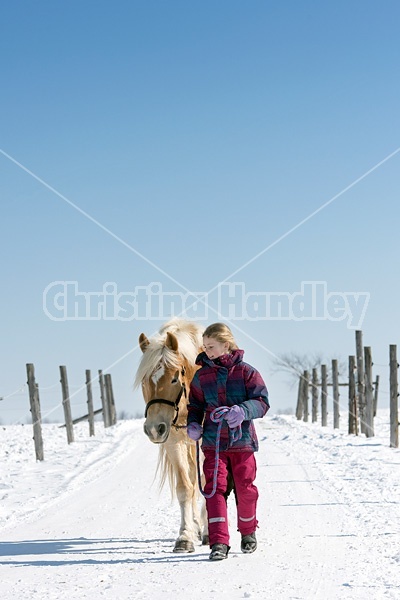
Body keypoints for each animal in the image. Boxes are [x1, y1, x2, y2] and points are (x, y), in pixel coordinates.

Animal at [135, 318, 209, 552]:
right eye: (144, 380)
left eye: (174, 379)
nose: (153, 428)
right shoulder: (174, 442)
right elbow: (185, 488)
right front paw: (185, 536)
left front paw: (208, 531)